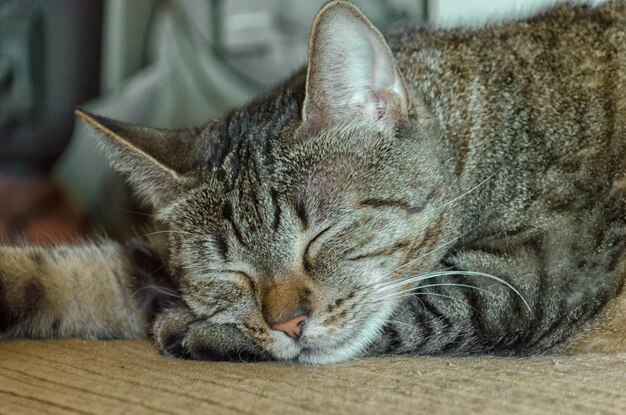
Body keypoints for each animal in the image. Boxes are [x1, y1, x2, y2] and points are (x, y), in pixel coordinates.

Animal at [1, 0, 624, 364]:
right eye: (231, 273)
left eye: (322, 237)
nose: (289, 322)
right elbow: (72, 276)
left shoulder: (534, 276)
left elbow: (426, 305)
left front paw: (193, 329)